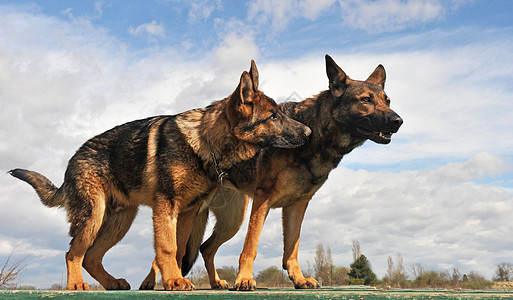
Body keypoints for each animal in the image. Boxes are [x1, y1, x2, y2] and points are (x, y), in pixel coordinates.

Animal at [8, 61, 310, 290]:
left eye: (280, 114)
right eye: (272, 117)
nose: (309, 133)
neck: (204, 141)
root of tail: (72, 162)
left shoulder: (187, 212)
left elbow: (178, 248)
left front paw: (174, 279)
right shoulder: (166, 205)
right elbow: (166, 246)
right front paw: (174, 281)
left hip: (119, 222)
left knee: (91, 257)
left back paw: (113, 283)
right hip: (93, 216)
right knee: (74, 252)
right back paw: (76, 285)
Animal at [142, 54, 402, 290]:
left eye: (387, 101)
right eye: (365, 100)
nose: (398, 121)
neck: (316, 134)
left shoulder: (297, 206)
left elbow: (292, 249)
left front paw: (298, 279)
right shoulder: (263, 200)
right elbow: (250, 247)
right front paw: (244, 280)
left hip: (230, 221)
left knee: (205, 248)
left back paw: (215, 282)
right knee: (165, 252)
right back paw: (152, 283)